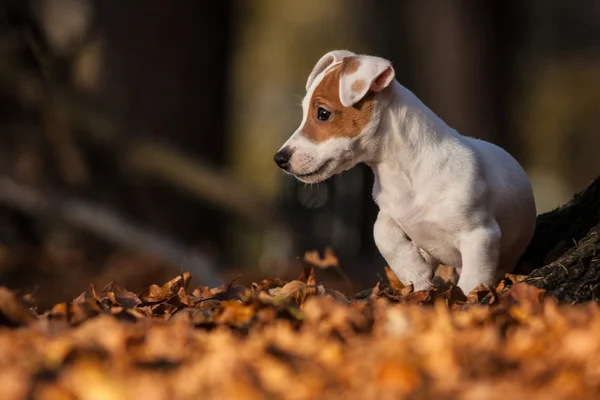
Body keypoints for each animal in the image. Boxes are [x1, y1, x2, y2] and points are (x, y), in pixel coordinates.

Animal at [274, 50, 536, 294]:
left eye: (323, 113)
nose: (280, 158)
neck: (404, 175)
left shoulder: (480, 236)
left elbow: (472, 281)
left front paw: (463, 300)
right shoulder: (391, 211)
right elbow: (380, 232)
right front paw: (415, 273)